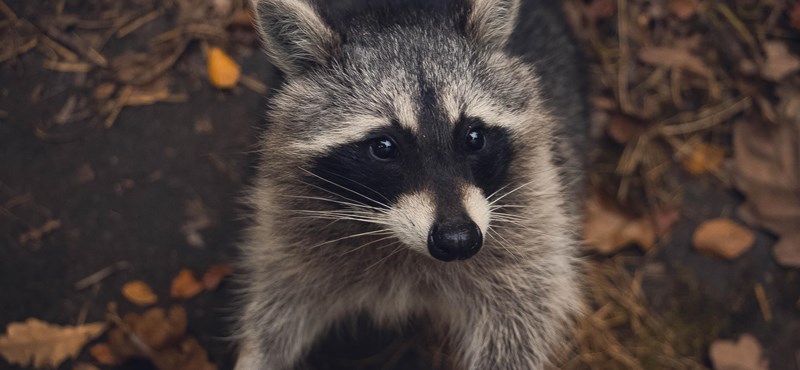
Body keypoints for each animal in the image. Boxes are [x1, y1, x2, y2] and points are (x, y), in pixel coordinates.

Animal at [236, 0, 588, 368]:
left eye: (474, 137)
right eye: (383, 147)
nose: (458, 240)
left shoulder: (534, 207)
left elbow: (522, 316)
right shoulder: (290, 219)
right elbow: (277, 305)